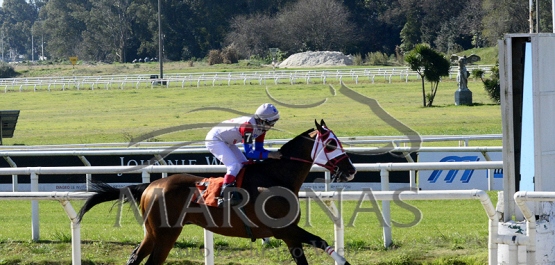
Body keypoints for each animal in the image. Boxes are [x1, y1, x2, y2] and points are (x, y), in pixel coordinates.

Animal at [77, 119, 356, 264]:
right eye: (331, 143)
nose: (351, 169)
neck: (275, 177)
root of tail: (151, 185)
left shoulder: (289, 234)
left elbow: (316, 248)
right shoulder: (284, 230)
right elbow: (318, 243)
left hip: (153, 233)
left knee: (135, 257)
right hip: (166, 234)